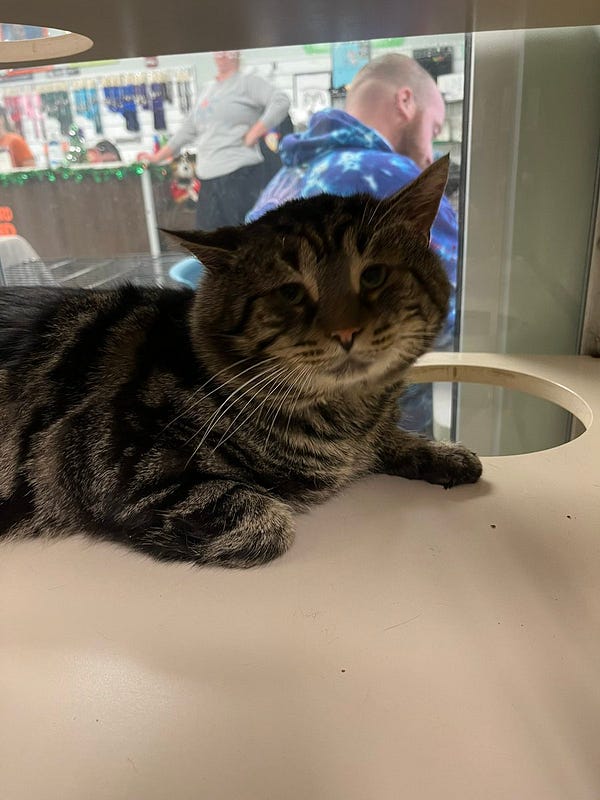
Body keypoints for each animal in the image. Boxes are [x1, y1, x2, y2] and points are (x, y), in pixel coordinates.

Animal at [0, 155, 480, 568]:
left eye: (374, 275)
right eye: (291, 292)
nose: (346, 332)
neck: (345, 419)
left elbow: (392, 440)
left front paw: (442, 453)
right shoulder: (114, 466)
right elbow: (269, 521)